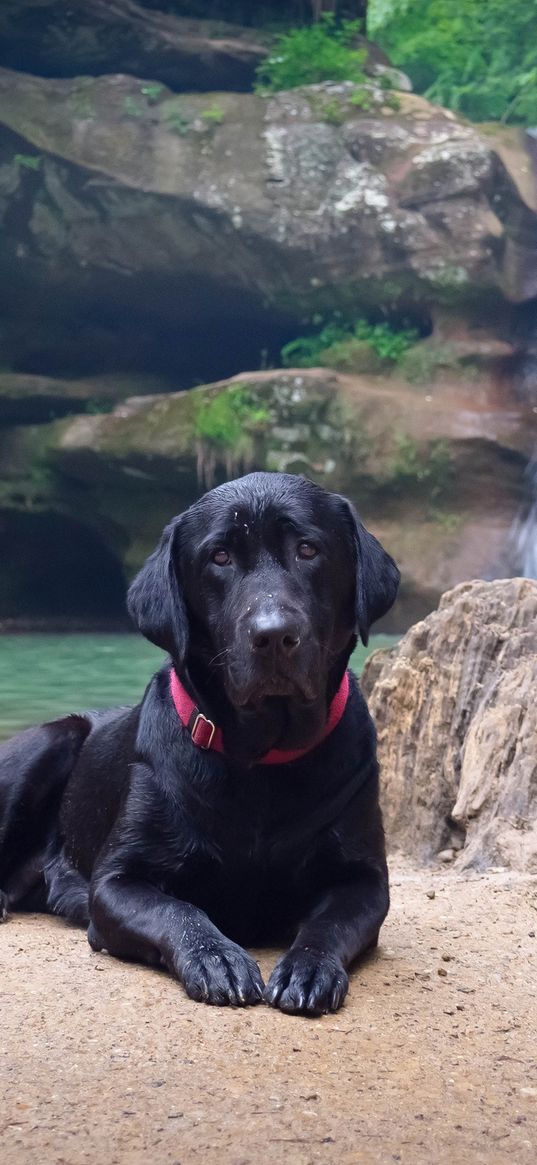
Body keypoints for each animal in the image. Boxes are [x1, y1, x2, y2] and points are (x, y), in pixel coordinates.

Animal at [0, 468, 398, 1015]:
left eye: (308, 549)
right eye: (220, 557)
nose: (273, 635)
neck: (261, 759)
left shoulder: (364, 881)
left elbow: (329, 922)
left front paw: (309, 967)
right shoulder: (117, 883)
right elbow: (179, 911)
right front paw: (217, 958)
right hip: (49, 740)